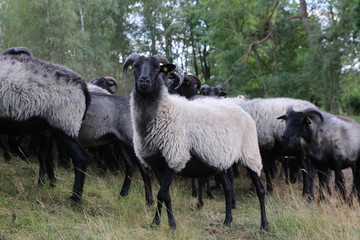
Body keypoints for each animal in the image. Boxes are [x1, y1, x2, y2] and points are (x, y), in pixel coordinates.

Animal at [123, 54, 268, 231]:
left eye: (158, 68)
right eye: (135, 67)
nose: (144, 81)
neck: (163, 112)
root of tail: (241, 109)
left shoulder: (175, 158)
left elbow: (162, 193)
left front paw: (171, 225)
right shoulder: (157, 163)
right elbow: (165, 195)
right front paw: (156, 223)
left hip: (250, 154)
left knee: (260, 190)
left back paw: (264, 225)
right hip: (220, 160)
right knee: (227, 188)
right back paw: (227, 221)